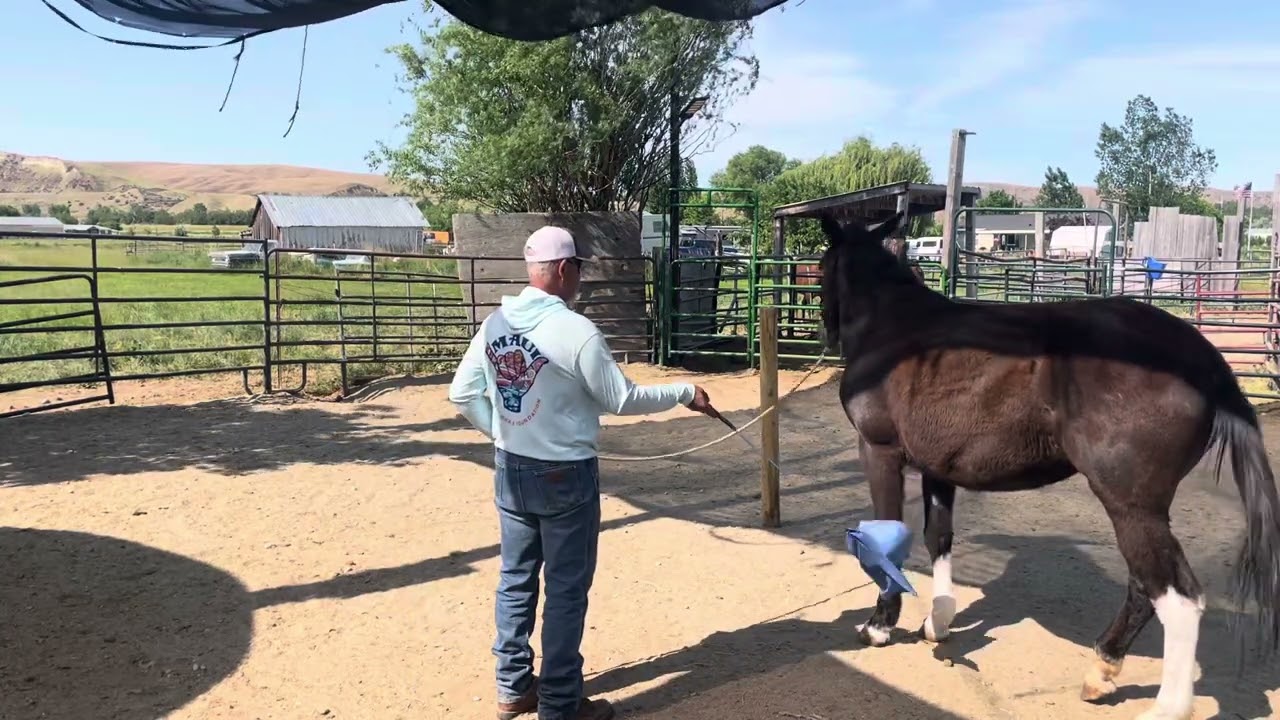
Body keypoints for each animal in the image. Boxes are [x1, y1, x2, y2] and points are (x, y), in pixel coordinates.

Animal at [816, 211, 1280, 720]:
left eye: (820, 268)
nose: (824, 329)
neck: (893, 330)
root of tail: (1202, 360)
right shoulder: (939, 467)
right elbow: (938, 537)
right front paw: (938, 622)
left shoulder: (878, 450)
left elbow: (886, 537)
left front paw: (879, 626)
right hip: (1141, 509)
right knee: (1144, 585)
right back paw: (1101, 671)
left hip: (1130, 504)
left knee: (1177, 597)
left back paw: (1165, 707)